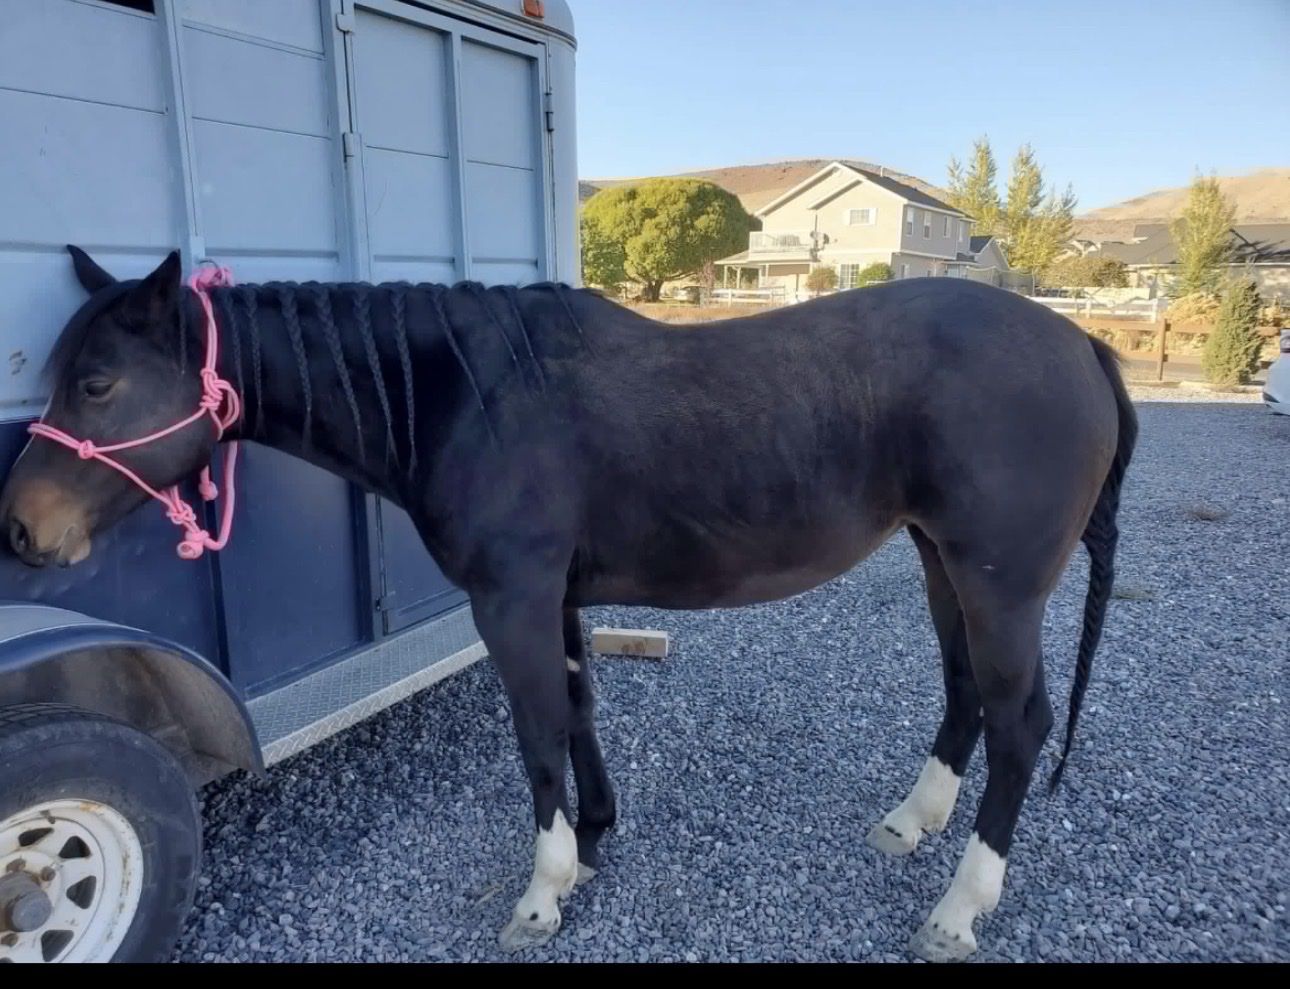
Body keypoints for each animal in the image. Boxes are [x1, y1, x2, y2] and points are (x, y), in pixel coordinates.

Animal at [0, 247, 1136, 960]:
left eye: (97, 383)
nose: (20, 528)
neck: (465, 393)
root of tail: (1080, 344)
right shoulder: (556, 596)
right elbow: (580, 709)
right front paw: (591, 839)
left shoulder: (511, 598)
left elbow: (539, 730)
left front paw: (544, 889)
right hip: (943, 559)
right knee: (966, 694)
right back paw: (913, 821)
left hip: (999, 580)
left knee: (1021, 722)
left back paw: (960, 907)